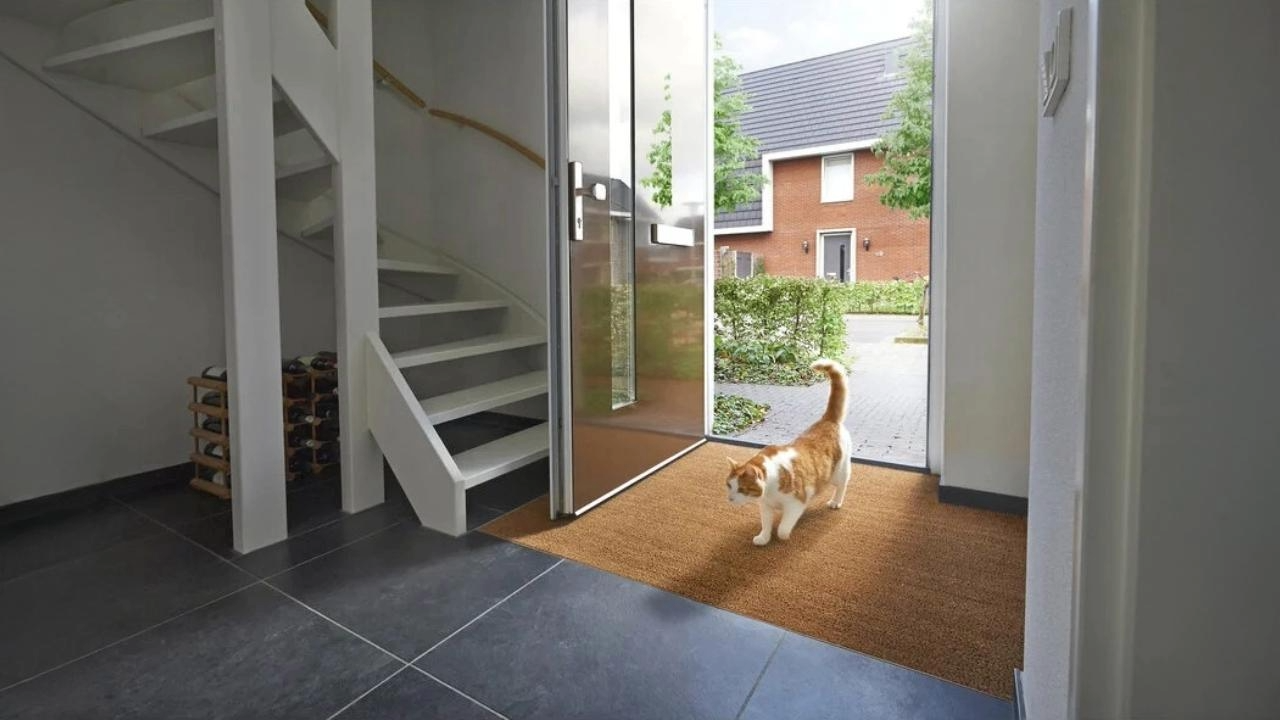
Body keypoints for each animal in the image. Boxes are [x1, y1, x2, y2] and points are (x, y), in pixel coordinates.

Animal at [725, 359, 852, 546]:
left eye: (741, 489)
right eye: (729, 485)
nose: (730, 499)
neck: (770, 488)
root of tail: (827, 420)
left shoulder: (796, 504)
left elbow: (783, 528)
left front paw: (784, 536)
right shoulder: (765, 506)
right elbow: (766, 524)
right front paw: (763, 538)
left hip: (838, 472)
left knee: (842, 485)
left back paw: (836, 502)